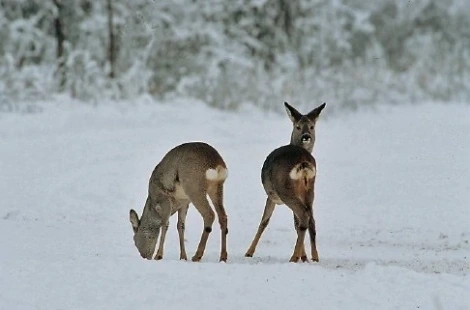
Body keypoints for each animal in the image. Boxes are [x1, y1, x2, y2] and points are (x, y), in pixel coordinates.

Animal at [244, 101, 324, 262]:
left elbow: (264, 221)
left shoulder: (271, 196)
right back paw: (314, 257)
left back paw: (293, 257)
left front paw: (249, 252)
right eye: (298, 126)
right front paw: (304, 256)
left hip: (285, 190)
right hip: (309, 190)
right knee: (310, 220)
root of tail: (303, 162)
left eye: (311, 126)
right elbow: (296, 223)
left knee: (303, 216)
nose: (306, 136)